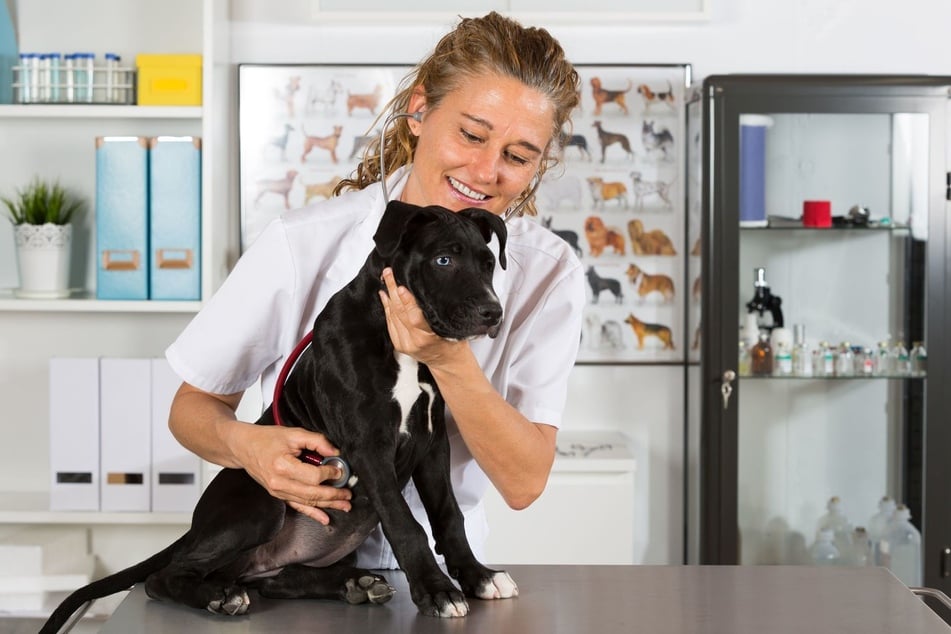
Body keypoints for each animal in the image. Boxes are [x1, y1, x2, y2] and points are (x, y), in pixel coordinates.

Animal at [42, 200, 520, 628]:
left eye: (488, 264)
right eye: (443, 260)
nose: (492, 313)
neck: (397, 340)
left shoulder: (432, 442)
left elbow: (448, 514)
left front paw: (478, 576)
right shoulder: (369, 446)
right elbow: (406, 523)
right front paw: (437, 591)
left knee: (273, 580)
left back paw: (353, 584)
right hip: (261, 501)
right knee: (165, 577)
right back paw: (220, 596)